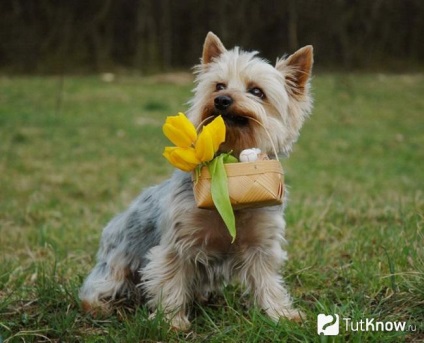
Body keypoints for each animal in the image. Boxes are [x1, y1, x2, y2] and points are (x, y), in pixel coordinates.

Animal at [80, 31, 312, 330]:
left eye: (256, 92)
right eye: (218, 85)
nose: (222, 99)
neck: (229, 165)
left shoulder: (261, 243)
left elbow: (267, 281)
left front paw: (281, 315)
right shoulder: (178, 243)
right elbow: (171, 280)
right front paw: (171, 322)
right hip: (117, 264)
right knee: (99, 287)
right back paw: (100, 307)